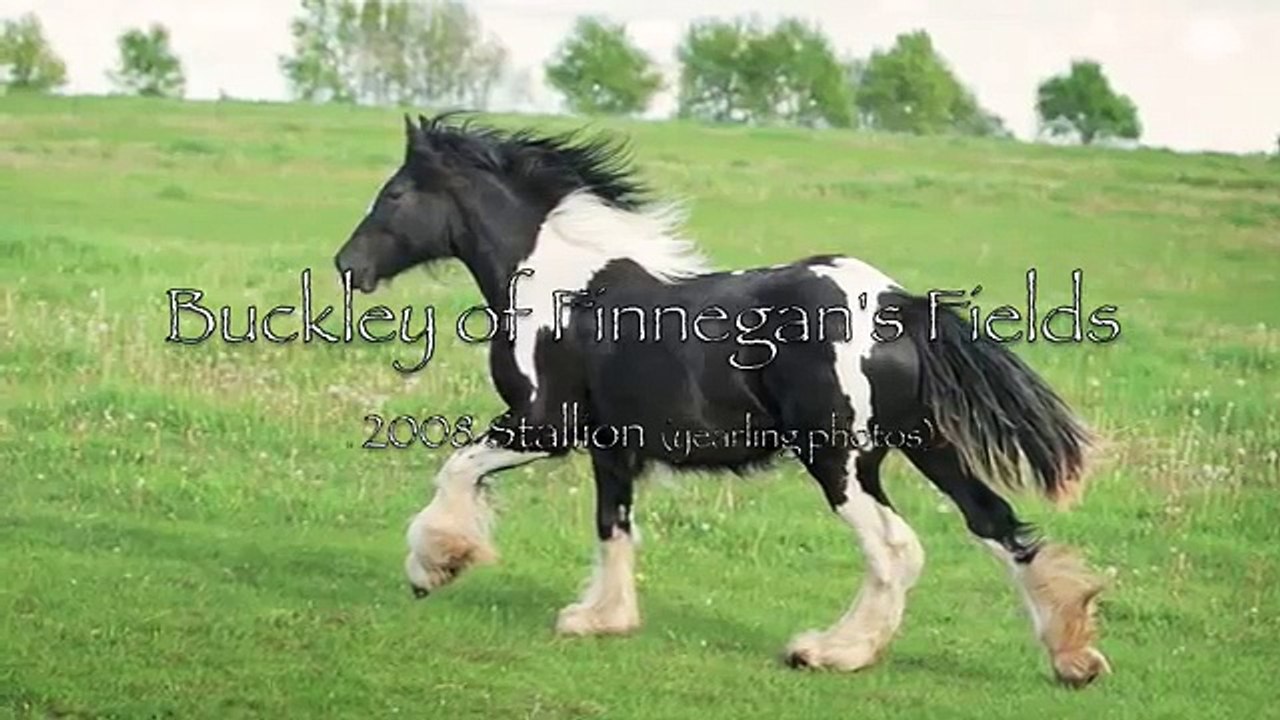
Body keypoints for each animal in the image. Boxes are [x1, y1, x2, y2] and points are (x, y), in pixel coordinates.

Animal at [333, 113, 1111, 687]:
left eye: (395, 193)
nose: (348, 266)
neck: (558, 286)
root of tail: (898, 303)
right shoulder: (612, 449)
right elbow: (613, 527)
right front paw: (600, 619)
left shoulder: (540, 426)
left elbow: (457, 467)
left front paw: (436, 564)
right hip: (926, 445)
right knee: (997, 523)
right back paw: (1073, 657)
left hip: (841, 461)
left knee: (896, 550)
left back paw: (827, 652)